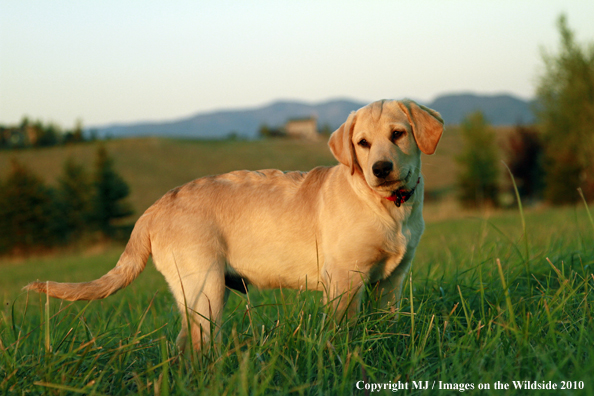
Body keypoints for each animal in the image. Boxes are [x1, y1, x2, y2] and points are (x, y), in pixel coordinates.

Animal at [25, 99, 440, 350]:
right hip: (204, 288)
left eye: (398, 134)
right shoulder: (343, 280)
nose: (380, 169)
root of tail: (155, 207)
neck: (390, 208)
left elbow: (386, 322)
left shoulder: (392, 280)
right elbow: (344, 331)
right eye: (362, 143)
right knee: (193, 347)